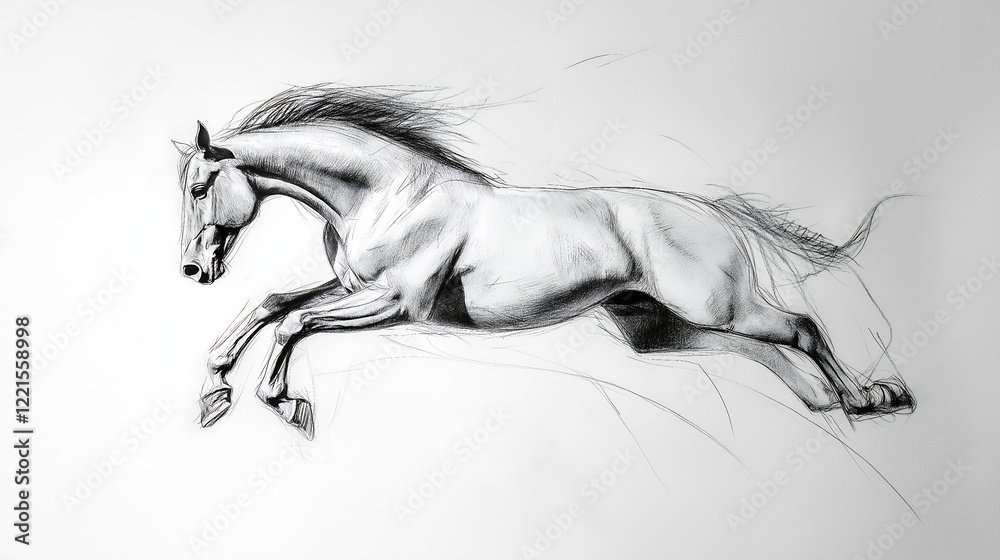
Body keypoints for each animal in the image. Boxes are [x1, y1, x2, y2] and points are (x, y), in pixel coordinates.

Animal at [174, 85, 914, 439]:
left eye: (199, 188)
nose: (192, 272)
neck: (391, 193)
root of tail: (714, 213)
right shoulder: (351, 284)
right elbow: (273, 304)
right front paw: (214, 391)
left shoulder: (395, 303)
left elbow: (293, 325)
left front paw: (282, 401)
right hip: (658, 328)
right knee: (766, 349)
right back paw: (831, 400)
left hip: (719, 305)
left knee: (801, 329)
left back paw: (871, 398)